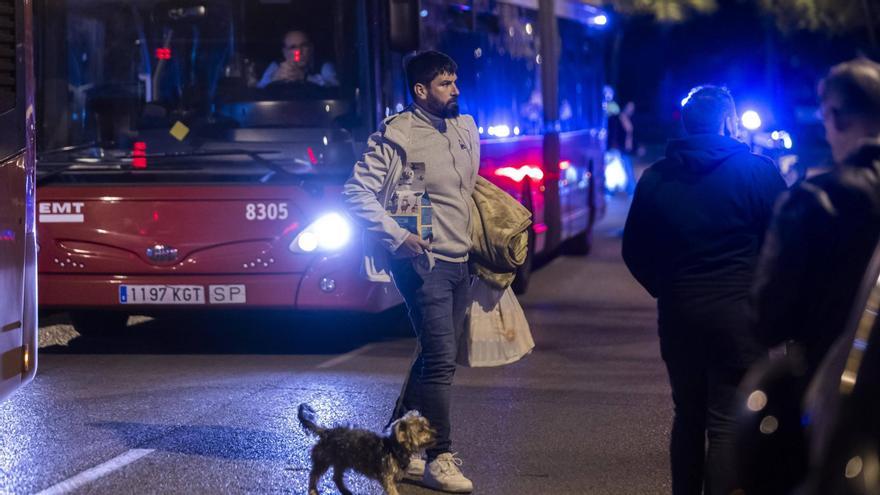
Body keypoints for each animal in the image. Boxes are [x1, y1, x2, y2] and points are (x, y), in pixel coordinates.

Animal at [298, 404, 434, 494]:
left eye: (427, 425)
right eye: (421, 430)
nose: (435, 433)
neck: (394, 447)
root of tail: (326, 432)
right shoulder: (387, 478)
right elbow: (393, 491)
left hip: (341, 461)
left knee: (336, 478)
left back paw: (345, 491)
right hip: (324, 459)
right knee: (313, 475)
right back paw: (313, 490)